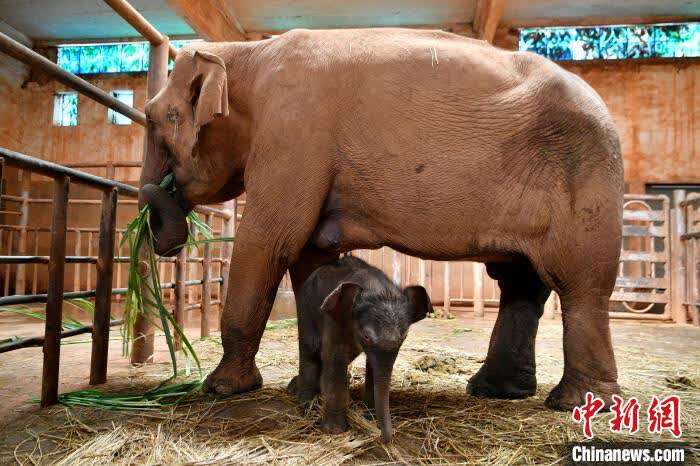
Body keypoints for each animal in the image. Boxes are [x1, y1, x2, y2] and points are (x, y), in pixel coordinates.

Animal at [139, 28, 620, 412]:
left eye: (158, 118)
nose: (160, 194)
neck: (246, 54)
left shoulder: (293, 133)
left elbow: (269, 240)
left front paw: (221, 388)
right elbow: (310, 259)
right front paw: (306, 388)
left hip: (586, 180)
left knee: (580, 285)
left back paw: (576, 403)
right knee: (520, 284)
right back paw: (496, 391)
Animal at [286, 256, 430, 442]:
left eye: (403, 337)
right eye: (366, 337)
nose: (383, 437)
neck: (375, 286)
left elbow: (372, 366)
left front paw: (369, 416)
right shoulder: (335, 318)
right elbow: (334, 358)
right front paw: (334, 431)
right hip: (305, 309)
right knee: (310, 350)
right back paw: (306, 405)